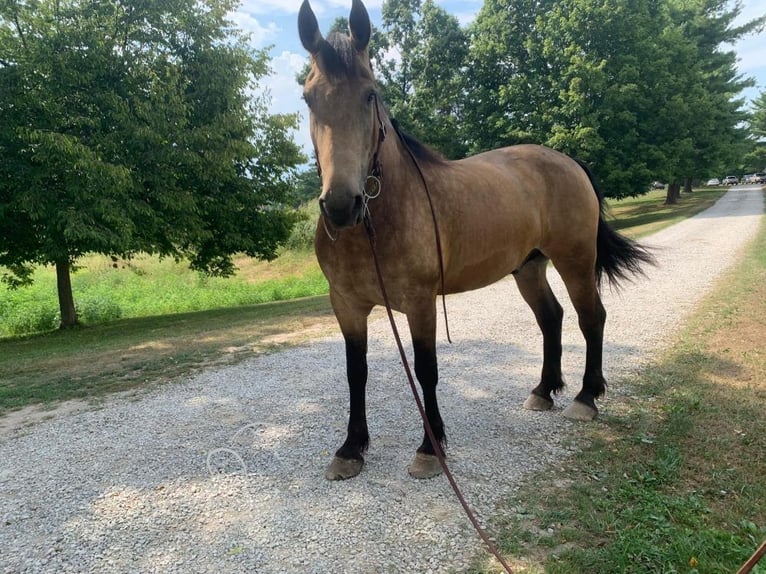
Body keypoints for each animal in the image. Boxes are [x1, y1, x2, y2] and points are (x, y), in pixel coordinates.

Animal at [298, 0, 656, 484]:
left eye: (370, 94)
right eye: (308, 97)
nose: (341, 205)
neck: (381, 219)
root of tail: (567, 160)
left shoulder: (420, 302)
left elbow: (426, 369)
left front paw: (430, 448)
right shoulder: (347, 305)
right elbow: (357, 373)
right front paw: (351, 448)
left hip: (575, 259)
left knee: (590, 317)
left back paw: (586, 397)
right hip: (529, 267)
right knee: (552, 318)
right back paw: (543, 391)